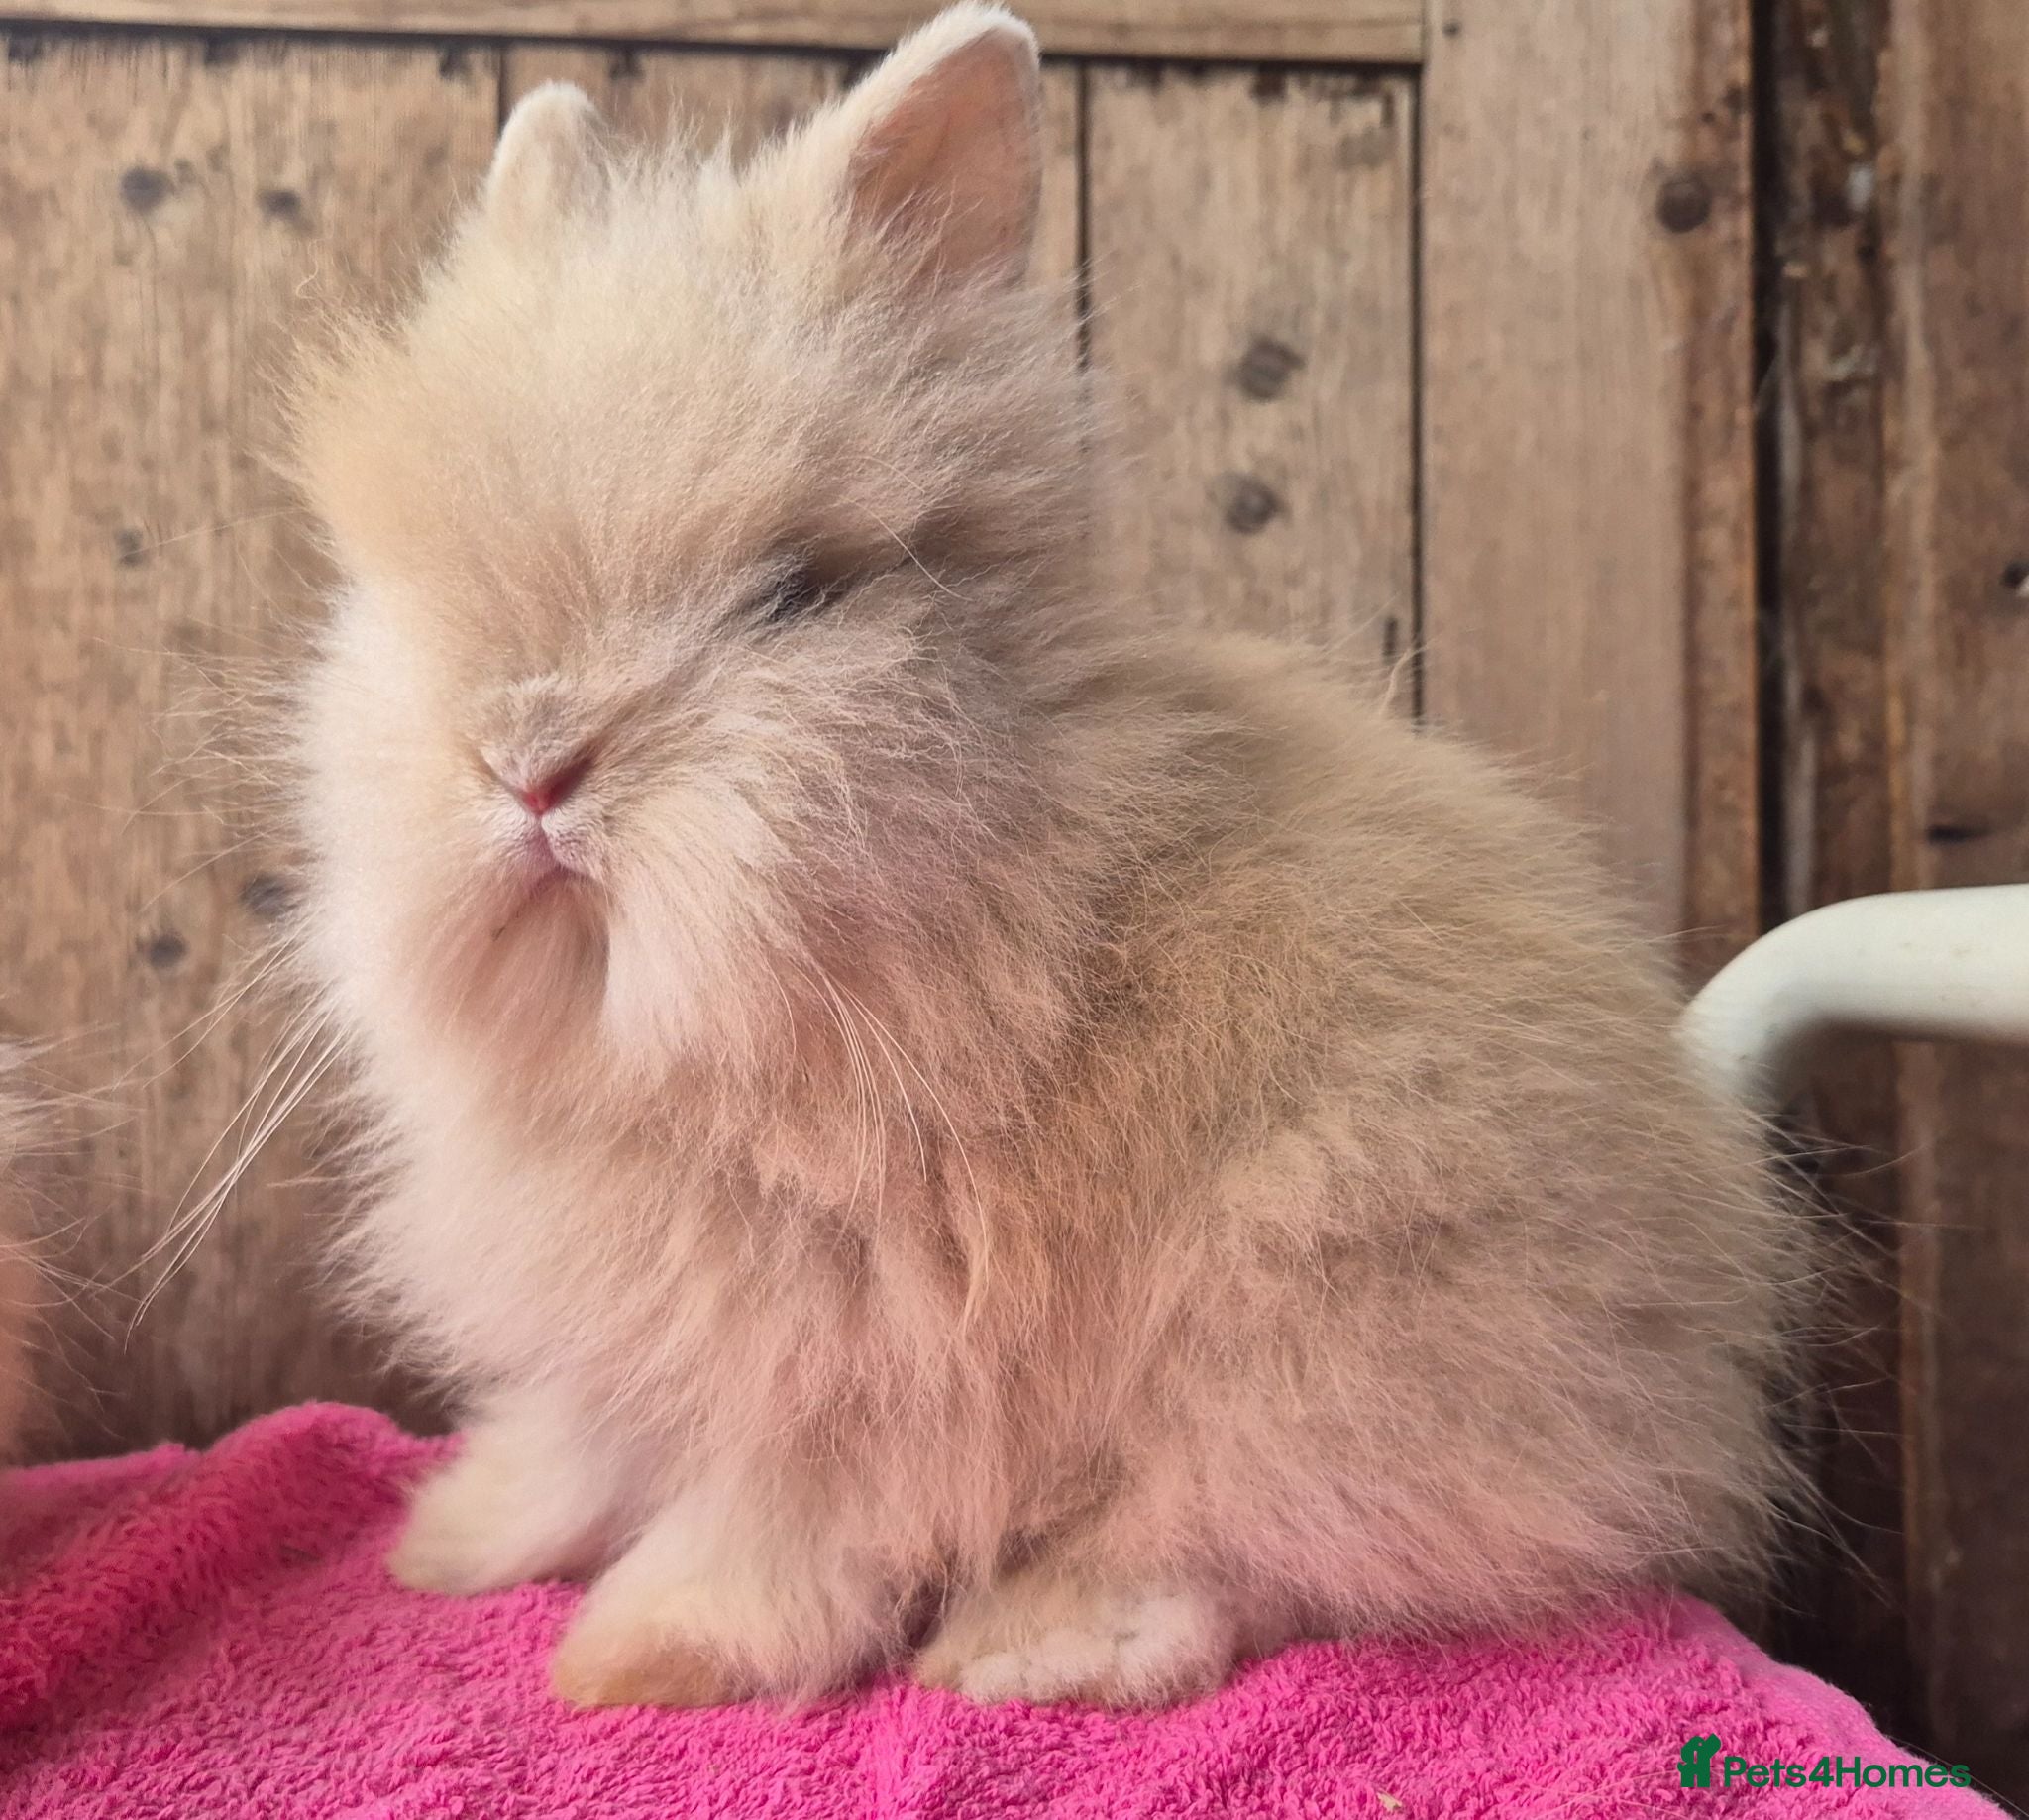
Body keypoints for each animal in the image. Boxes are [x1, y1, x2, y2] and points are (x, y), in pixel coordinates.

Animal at [281, 2, 1800, 1709]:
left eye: (794, 595)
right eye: (398, 586)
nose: (527, 760)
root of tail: (1685, 1366)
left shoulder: (857, 1352)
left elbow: (770, 1517)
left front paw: (636, 1658)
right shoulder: (635, 1340)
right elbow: (586, 1442)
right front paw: (458, 1541)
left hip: (1323, 1302)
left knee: (1259, 1539)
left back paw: (1030, 1645)